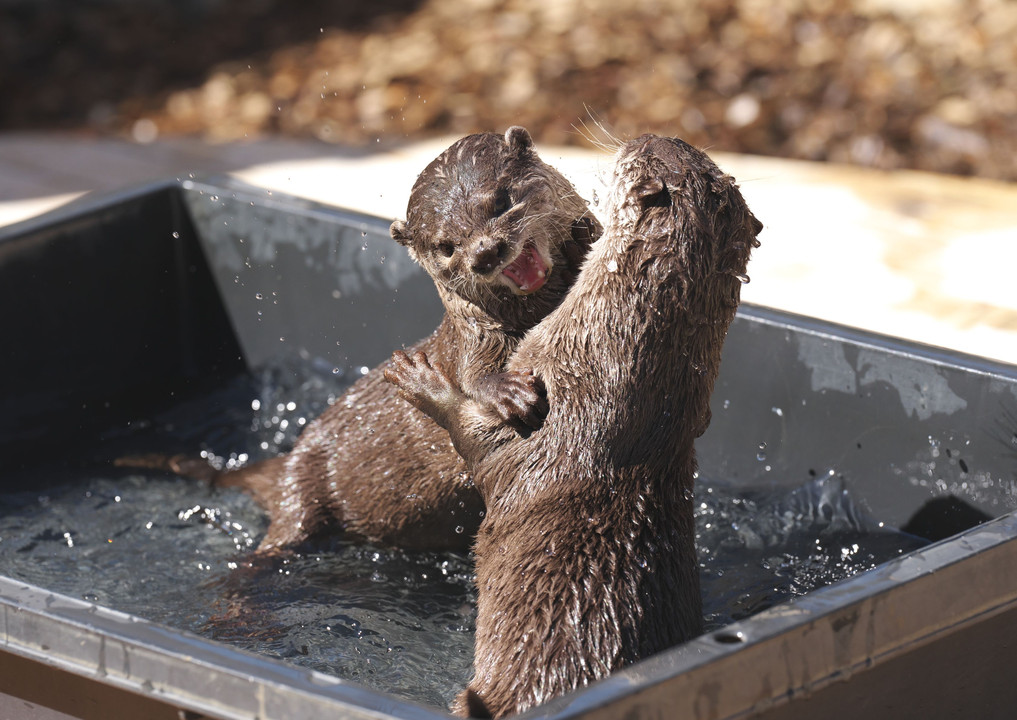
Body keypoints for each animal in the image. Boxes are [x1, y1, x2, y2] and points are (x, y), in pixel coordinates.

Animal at [128, 126, 602, 553]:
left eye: (502, 201)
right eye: (447, 246)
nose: (484, 253)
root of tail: (292, 458)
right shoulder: (473, 340)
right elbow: (472, 378)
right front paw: (508, 393)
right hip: (301, 499)